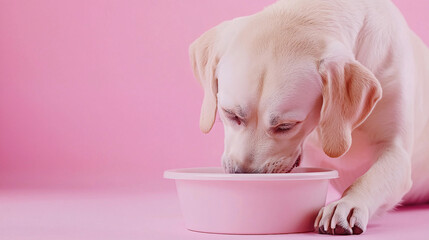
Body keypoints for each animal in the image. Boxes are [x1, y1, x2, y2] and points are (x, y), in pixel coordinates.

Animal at [189, 0, 428, 236]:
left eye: (286, 126)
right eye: (230, 114)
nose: (244, 175)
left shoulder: (396, 152)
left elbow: (371, 177)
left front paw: (347, 204)